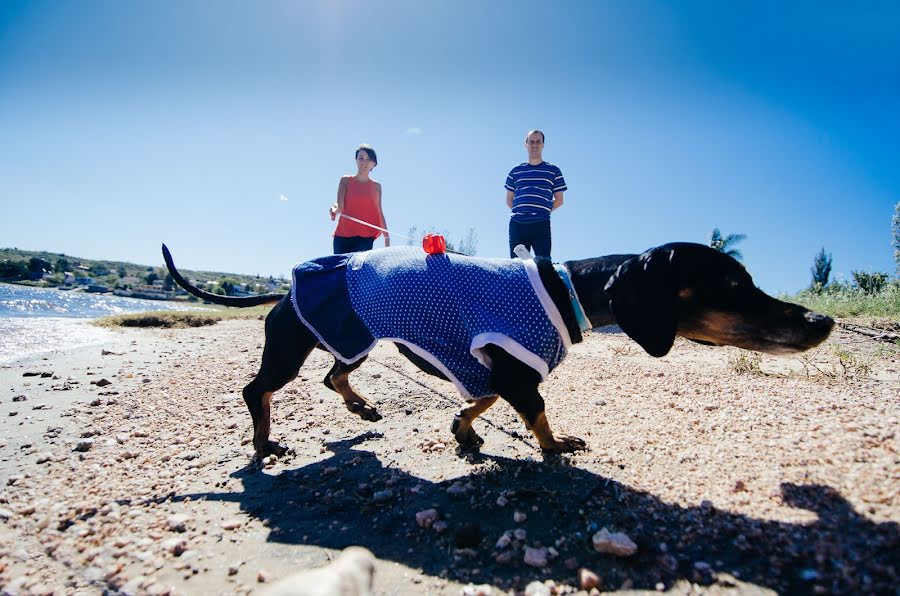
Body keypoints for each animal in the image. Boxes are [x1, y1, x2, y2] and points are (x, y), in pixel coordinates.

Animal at [163, 244, 836, 458]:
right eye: (735, 285)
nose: (822, 319)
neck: (568, 287)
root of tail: (286, 286)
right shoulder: (515, 368)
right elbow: (533, 411)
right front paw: (554, 447)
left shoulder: (489, 366)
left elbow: (481, 399)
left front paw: (464, 430)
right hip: (296, 344)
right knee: (257, 389)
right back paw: (263, 443)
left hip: (354, 339)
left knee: (334, 377)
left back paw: (360, 409)